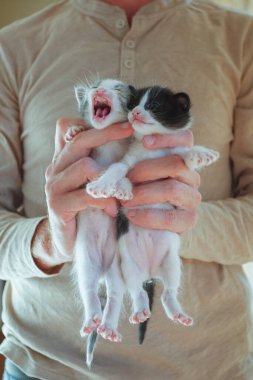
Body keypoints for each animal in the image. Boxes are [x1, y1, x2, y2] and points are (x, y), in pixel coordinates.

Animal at [87, 87, 219, 342]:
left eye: (154, 106)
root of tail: (150, 272)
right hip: (129, 266)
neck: (152, 148)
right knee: (137, 291)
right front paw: (108, 185)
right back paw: (140, 310)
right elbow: (119, 169)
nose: (136, 112)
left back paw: (177, 313)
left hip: (172, 263)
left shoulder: (175, 155)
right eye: (133, 104)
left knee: (168, 291)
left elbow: (184, 155)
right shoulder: (128, 160)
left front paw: (200, 154)